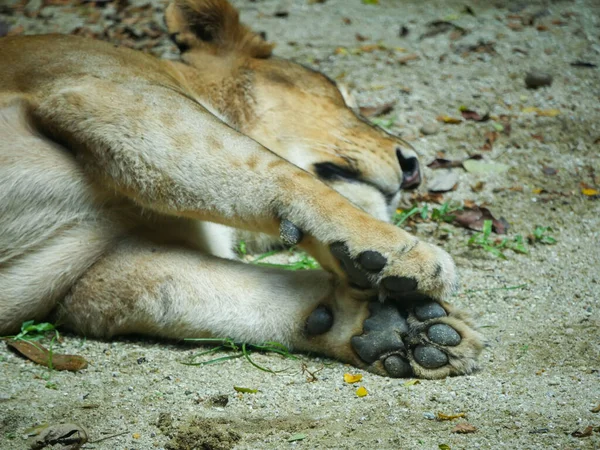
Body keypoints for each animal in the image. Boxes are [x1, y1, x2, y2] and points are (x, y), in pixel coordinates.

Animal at [0, 0, 480, 380]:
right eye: (340, 96)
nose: (413, 167)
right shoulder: (107, 90)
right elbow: (273, 169)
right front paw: (403, 254)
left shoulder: (98, 274)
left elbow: (225, 293)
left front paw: (398, 329)